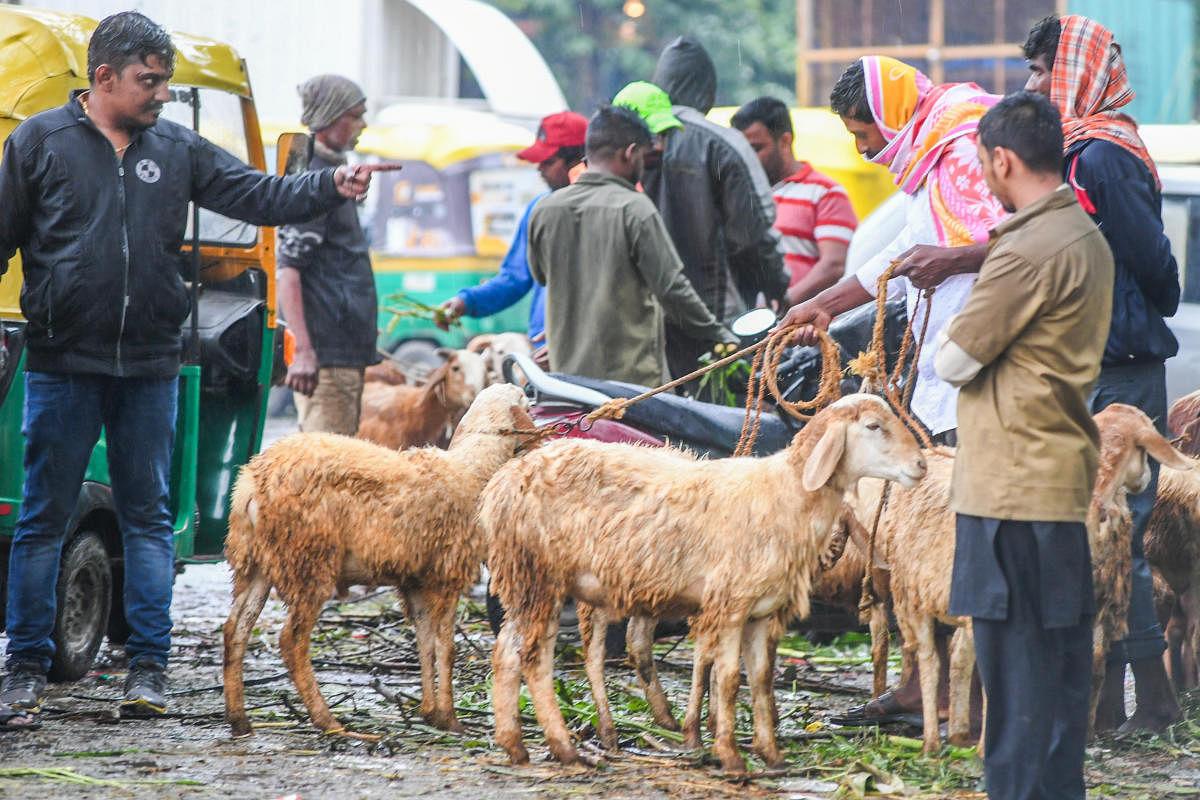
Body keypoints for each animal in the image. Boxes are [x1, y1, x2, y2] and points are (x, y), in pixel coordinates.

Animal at [222, 381, 540, 738]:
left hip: (255, 561)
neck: (473, 469)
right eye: (525, 402)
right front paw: (449, 718)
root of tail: (251, 486)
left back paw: (239, 719)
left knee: (236, 629)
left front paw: (429, 712)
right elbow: (446, 647)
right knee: (291, 640)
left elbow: (425, 643)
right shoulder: (446, 573)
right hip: (308, 558)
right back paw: (327, 721)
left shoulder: (414, 580)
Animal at [480, 393, 926, 777]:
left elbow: (760, 680)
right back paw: (565, 748)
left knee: (507, 653)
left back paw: (515, 745)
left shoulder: (760, 611)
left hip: (528, 581)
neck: (786, 493)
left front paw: (771, 755)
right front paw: (729, 755)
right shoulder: (729, 604)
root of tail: (507, 477)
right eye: (873, 426)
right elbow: (727, 680)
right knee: (536, 657)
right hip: (540, 575)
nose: (922, 465)